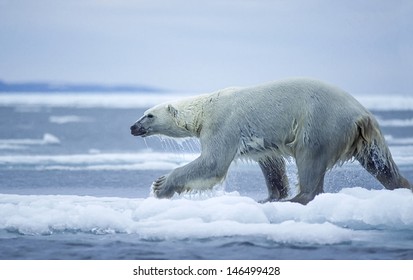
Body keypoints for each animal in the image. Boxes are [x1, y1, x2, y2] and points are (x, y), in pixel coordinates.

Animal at [130, 77, 410, 205]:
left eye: (149, 115)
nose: (133, 127)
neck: (204, 108)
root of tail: (362, 114)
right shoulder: (260, 141)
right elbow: (271, 163)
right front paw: (269, 197)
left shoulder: (222, 123)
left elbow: (212, 163)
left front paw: (160, 185)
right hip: (364, 137)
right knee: (380, 163)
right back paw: (401, 186)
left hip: (320, 122)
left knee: (310, 158)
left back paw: (298, 198)